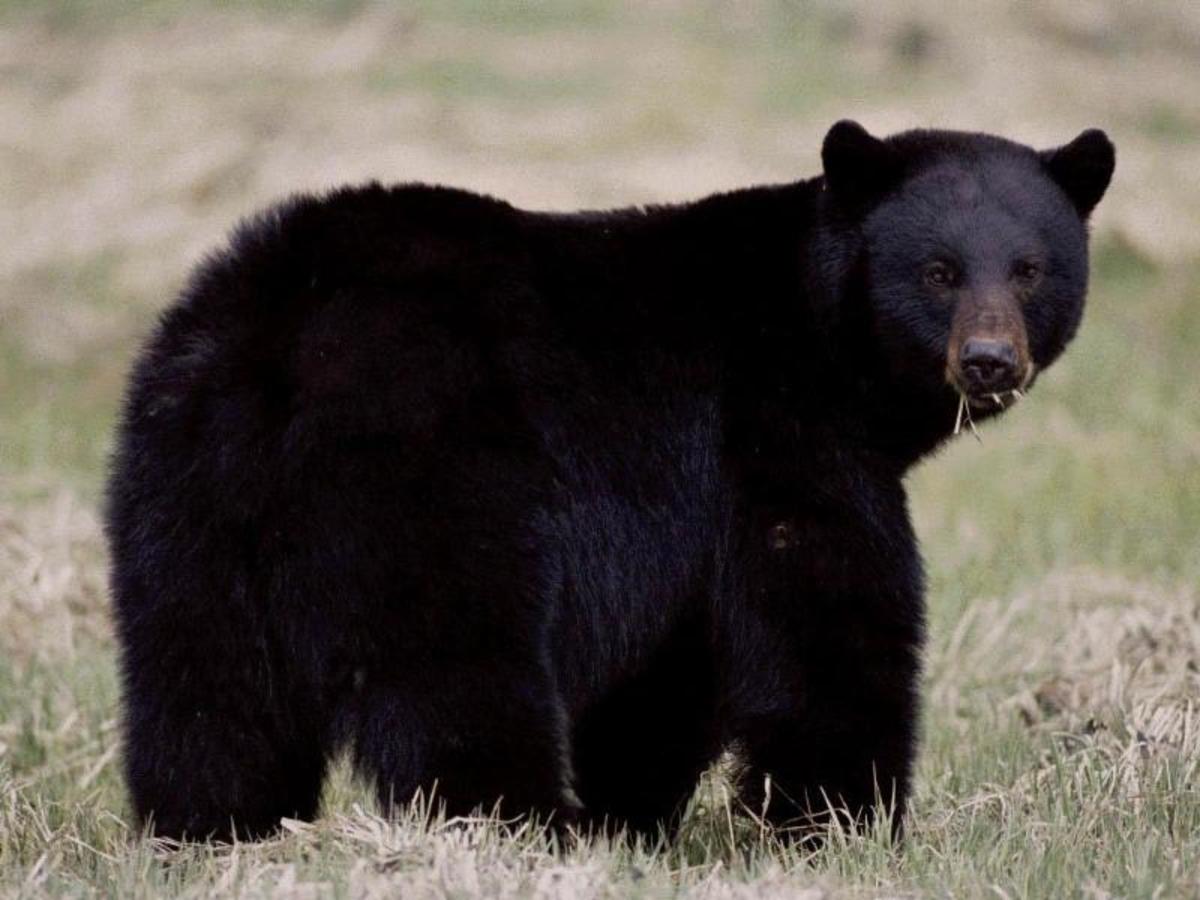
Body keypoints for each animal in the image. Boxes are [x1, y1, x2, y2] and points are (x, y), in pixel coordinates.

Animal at [105, 121, 1113, 844]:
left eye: (1030, 269)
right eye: (939, 272)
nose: (988, 361)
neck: (813, 328)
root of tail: (282, 343)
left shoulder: (690, 513)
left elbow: (671, 665)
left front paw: (630, 816)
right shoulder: (770, 435)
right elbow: (822, 613)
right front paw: (846, 821)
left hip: (182, 489)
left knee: (202, 685)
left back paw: (213, 831)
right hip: (428, 472)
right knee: (456, 665)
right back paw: (515, 821)